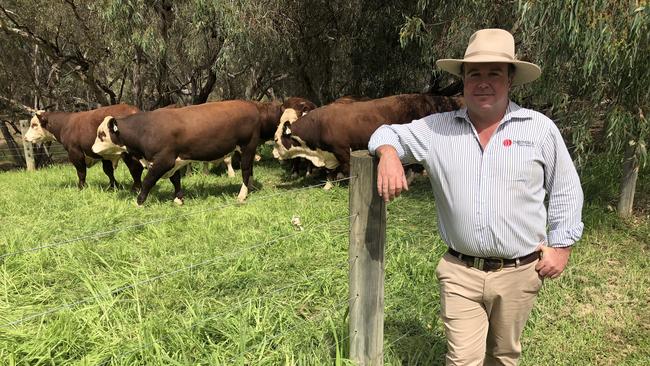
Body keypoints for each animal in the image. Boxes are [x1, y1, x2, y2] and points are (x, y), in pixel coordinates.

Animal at [270, 93, 464, 181]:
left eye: (277, 140)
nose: (273, 154)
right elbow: (330, 172)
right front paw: (329, 183)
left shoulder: (342, 151)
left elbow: (346, 168)